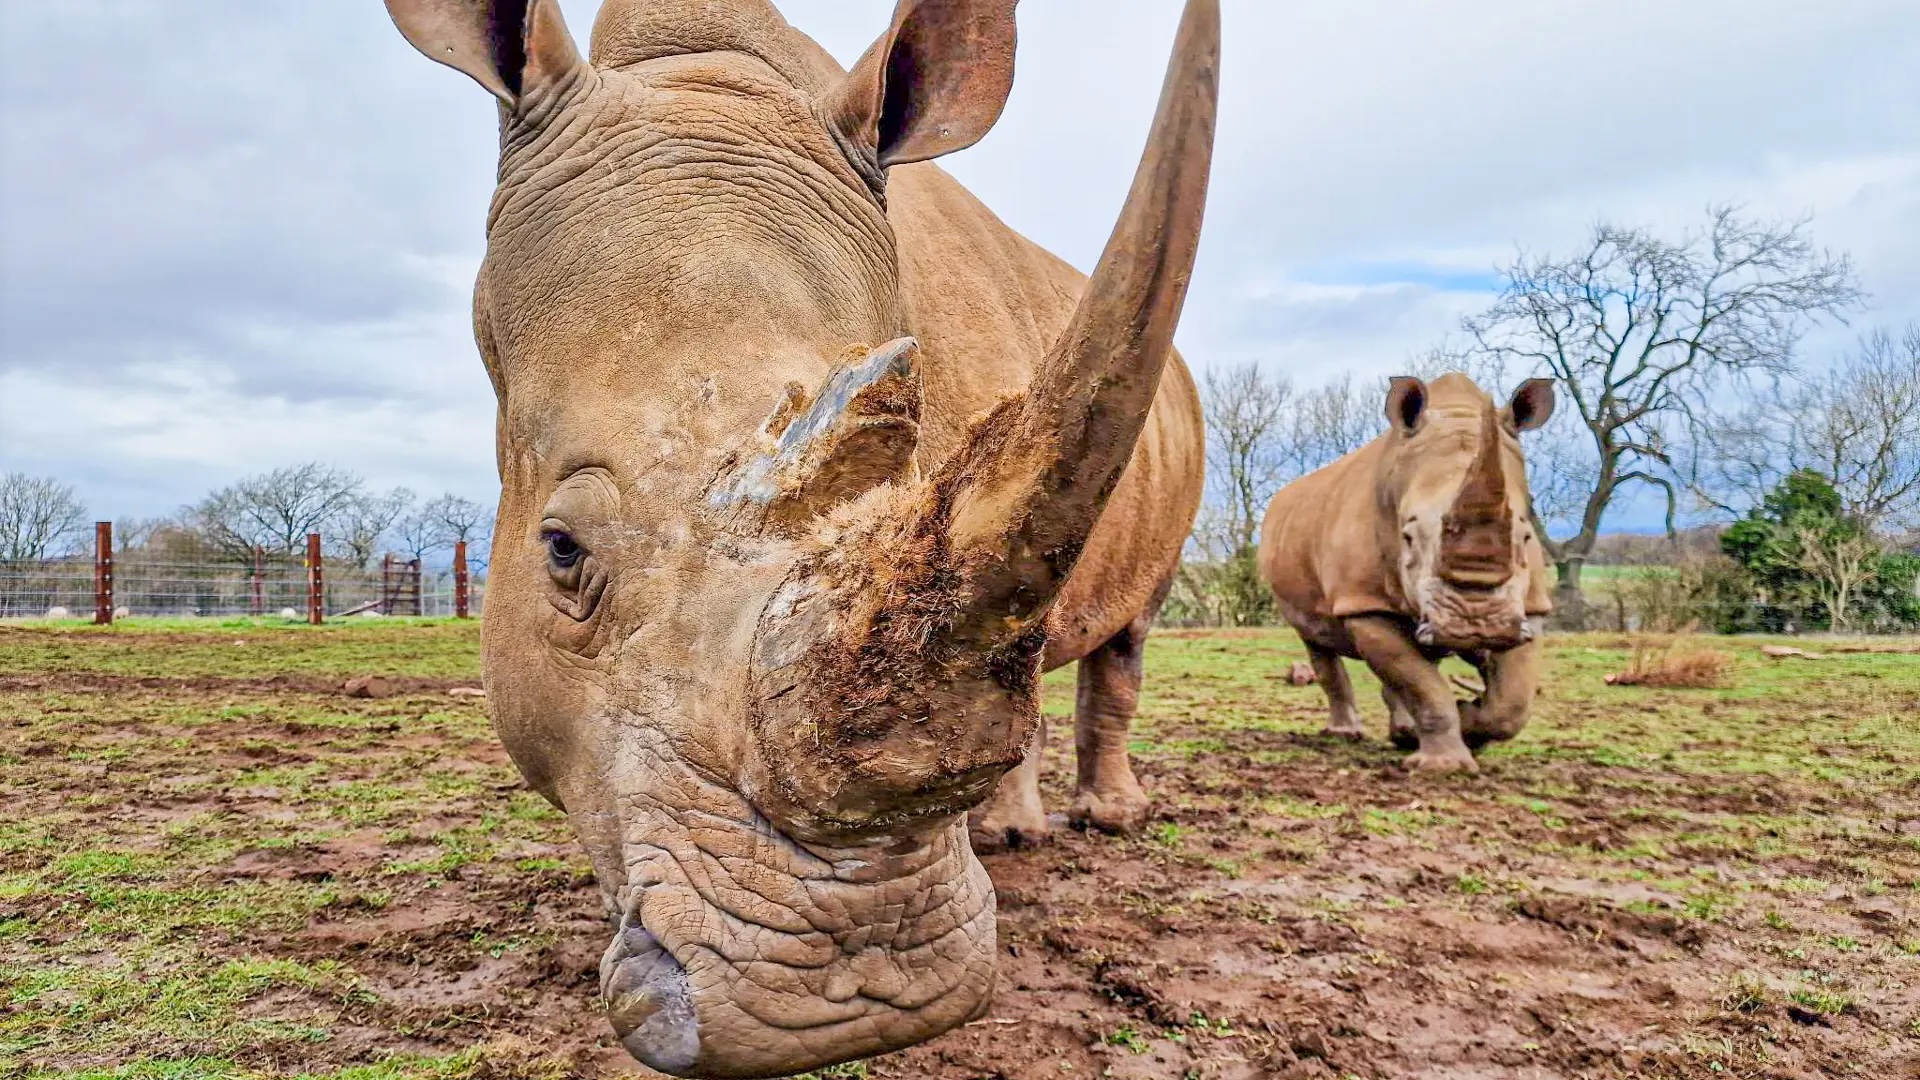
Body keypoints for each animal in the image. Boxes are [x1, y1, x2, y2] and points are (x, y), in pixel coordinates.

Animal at [1258, 373, 1555, 772]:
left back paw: (1404, 734)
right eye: (1408, 538)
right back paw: (1348, 734)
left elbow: (1512, 700)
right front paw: (1445, 765)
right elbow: (1421, 684)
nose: (1476, 622)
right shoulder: (1364, 603)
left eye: (1524, 536)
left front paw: (1470, 723)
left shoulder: (1530, 606)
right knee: (1317, 641)